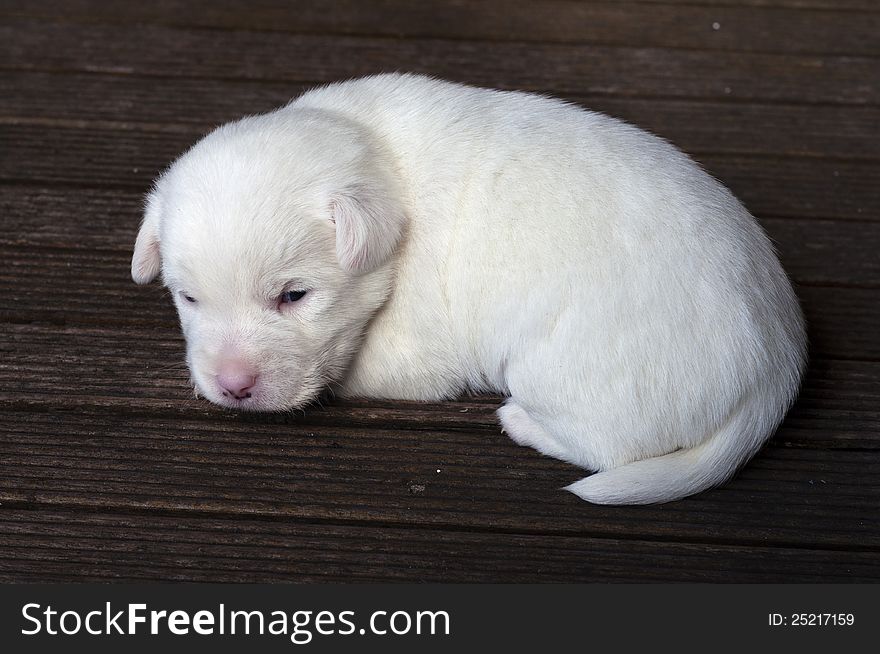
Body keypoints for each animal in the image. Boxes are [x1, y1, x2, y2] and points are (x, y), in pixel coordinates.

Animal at [129, 75, 804, 508]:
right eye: (188, 300)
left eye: (294, 296)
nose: (232, 387)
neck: (383, 167)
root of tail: (777, 369)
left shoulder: (415, 353)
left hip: (567, 378)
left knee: (605, 449)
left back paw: (522, 423)